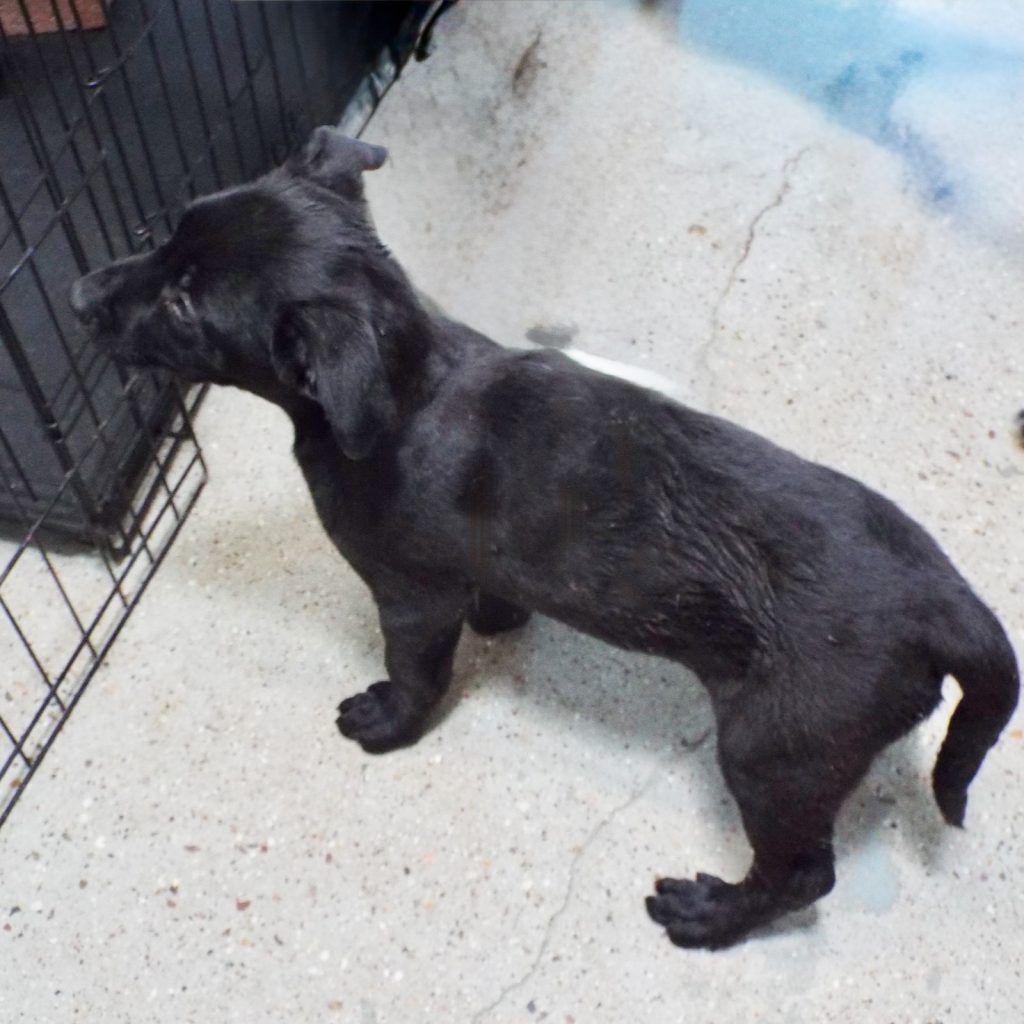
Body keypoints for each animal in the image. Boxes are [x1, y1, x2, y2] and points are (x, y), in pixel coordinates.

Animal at [70, 127, 1019, 949]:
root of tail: (949, 603)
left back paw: (709, 916)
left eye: (185, 303)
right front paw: (502, 621)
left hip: (774, 751)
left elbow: (416, 673)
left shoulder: (409, 597)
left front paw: (386, 721)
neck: (407, 387)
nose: (78, 296)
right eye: (170, 232)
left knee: (804, 876)